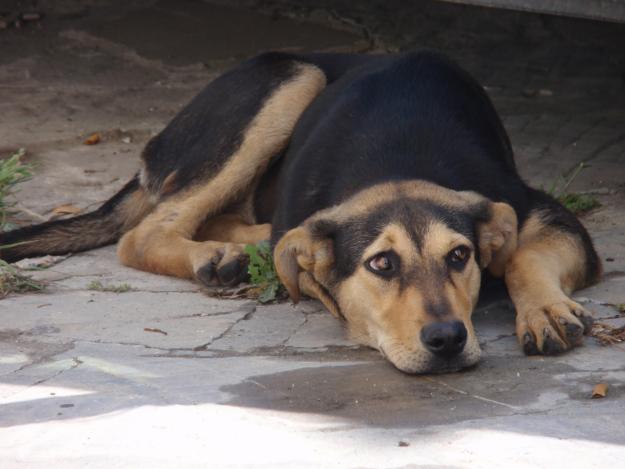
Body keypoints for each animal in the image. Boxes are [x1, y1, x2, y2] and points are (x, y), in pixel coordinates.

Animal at [2, 51, 604, 372]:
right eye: (381, 264)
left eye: (460, 257)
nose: (448, 341)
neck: (398, 157)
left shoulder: (541, 212)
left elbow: (523, 256)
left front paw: (545, 311)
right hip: (292, 77)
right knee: (144, 232)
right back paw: (217, 256)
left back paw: (239, 247)